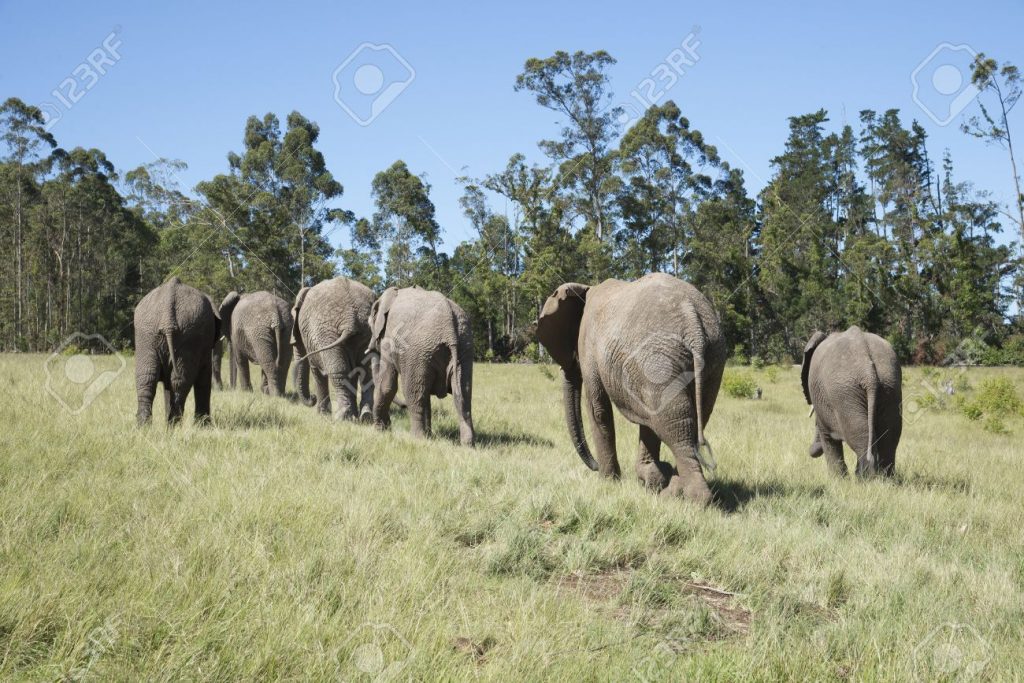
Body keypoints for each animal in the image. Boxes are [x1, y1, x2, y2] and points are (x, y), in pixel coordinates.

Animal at [134, 274, 220, 423]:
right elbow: (204, 380)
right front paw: (204, 426)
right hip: (187, 334)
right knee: (179, 382)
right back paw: (173, 425)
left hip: (147, 335)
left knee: (147, 378)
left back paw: (146, 426)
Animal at [290, 278, 374, 419]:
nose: (312, 398)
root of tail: (350, 318)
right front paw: (353, 417)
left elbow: (316, 371)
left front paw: (322, 415)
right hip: (367, 331)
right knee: (367, 372)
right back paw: (366, 417)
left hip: (327, 334)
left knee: (338, 371)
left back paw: (342, 417)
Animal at [366, 286, 473, 446]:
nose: (389, 426)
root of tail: (450, 329)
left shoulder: (389, 339)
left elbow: (387, 385)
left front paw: (379, 431)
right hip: (463, 349)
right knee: (463, 395)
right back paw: (468, 445)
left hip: (418, 352)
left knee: (413, 393)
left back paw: (417, 439)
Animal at [536, 274, 729, 507]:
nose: (594, 467)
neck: (584, 288)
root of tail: (694, 323)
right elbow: (646, 419)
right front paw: (650, 478)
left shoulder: (588, 345)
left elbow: (598, 410)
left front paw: (608, 482)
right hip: (711, 358)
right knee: (687, 417)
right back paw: (674, 490)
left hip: (659, 361)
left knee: (674, 422)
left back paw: (692, 500)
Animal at [798, 327, 905, 479]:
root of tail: (868, 373)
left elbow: (828, 438)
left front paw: (837, 480)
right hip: (890, 385)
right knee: (889, 435)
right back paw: (885, 479)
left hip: (845, 393)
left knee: (860, 436)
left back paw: (865, 479)